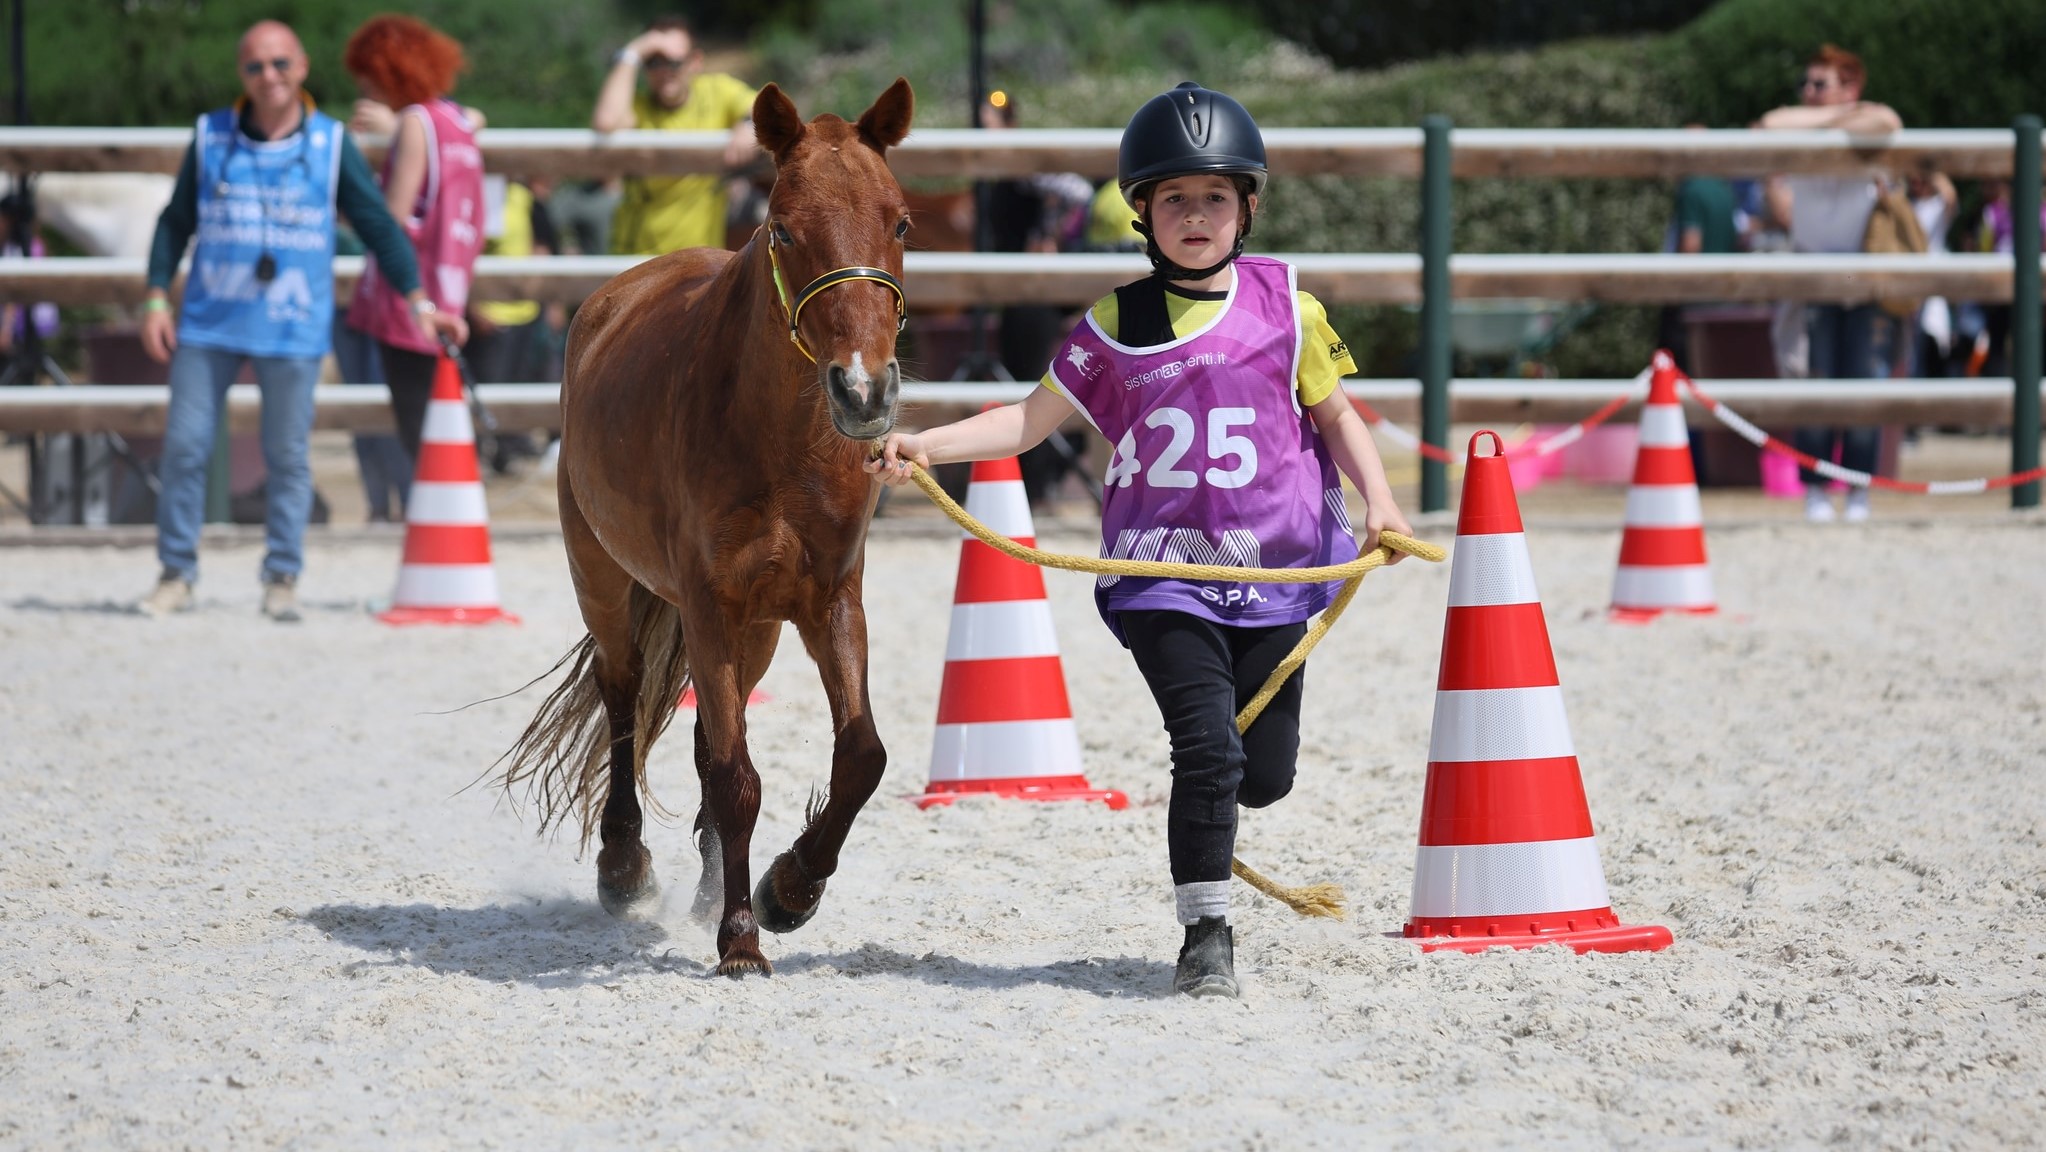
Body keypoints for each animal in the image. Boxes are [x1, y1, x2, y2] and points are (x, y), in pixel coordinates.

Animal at [497, 79, 915, 977]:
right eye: (784, 227)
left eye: (900, 222)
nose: (864, 391)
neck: (781, 440)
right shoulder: (708, 602)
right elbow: (734, 777)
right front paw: (742, 936)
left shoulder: (829, 600)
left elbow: (860, 755)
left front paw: (789, 889)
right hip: (602, 577)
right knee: (621, 698)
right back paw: (624, 866)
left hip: (755, 627)